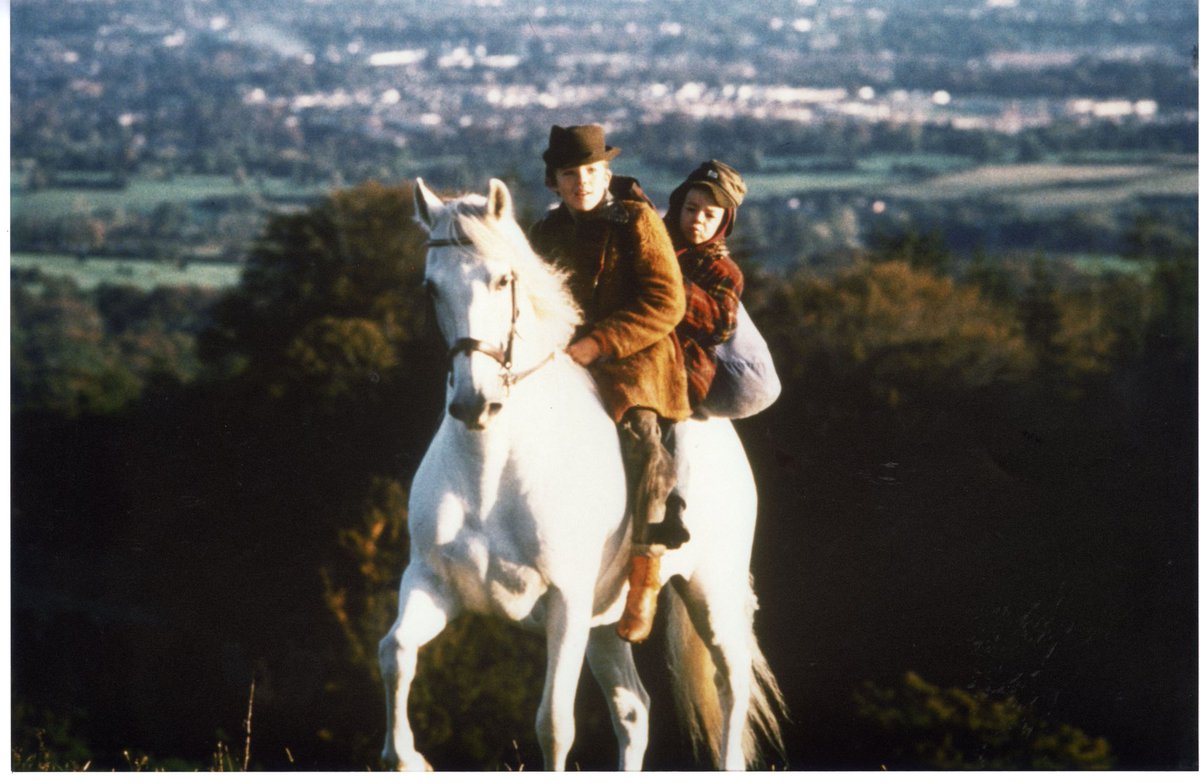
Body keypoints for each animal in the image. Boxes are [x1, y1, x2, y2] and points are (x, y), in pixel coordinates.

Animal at [376, 177, 787, 768]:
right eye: (431, 288)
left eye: (504, 279)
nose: (475, 403)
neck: (490, 473)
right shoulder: (432, 584)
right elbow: (395, 652)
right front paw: (408, 757)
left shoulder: (565, 604)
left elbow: (553, 724)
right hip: (607, 622)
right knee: (635, 710)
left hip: (713, 590)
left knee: (732, 684)